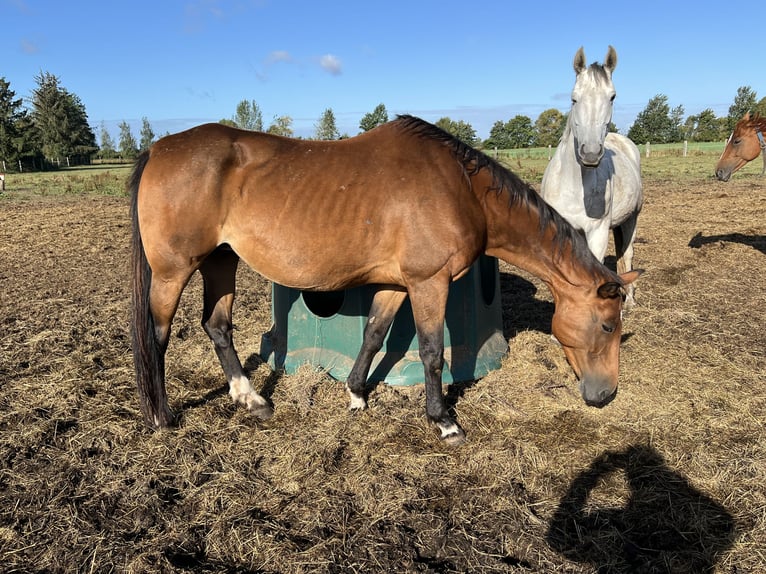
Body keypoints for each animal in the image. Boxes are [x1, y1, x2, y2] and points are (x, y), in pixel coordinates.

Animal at [130, 115, 640, 446]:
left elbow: (374, 334)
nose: (606, 395)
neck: (462, 188)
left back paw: (252, 399)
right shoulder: (429, 282)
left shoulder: (397, 285)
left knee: (216, 327)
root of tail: (158, 148)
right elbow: (433, 353)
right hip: (174, 270)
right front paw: (444, 422)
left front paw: (357, 394)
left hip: (221, 261)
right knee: (157, 335)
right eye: (607, 326)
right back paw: (162, 415)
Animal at [544, 47, 644, 310]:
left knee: (627, 254)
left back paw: (629, 301)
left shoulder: (597, 232)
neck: (574, 187)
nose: (590, 153)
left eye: (612, 97)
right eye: (573, 98)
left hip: (632, 219)